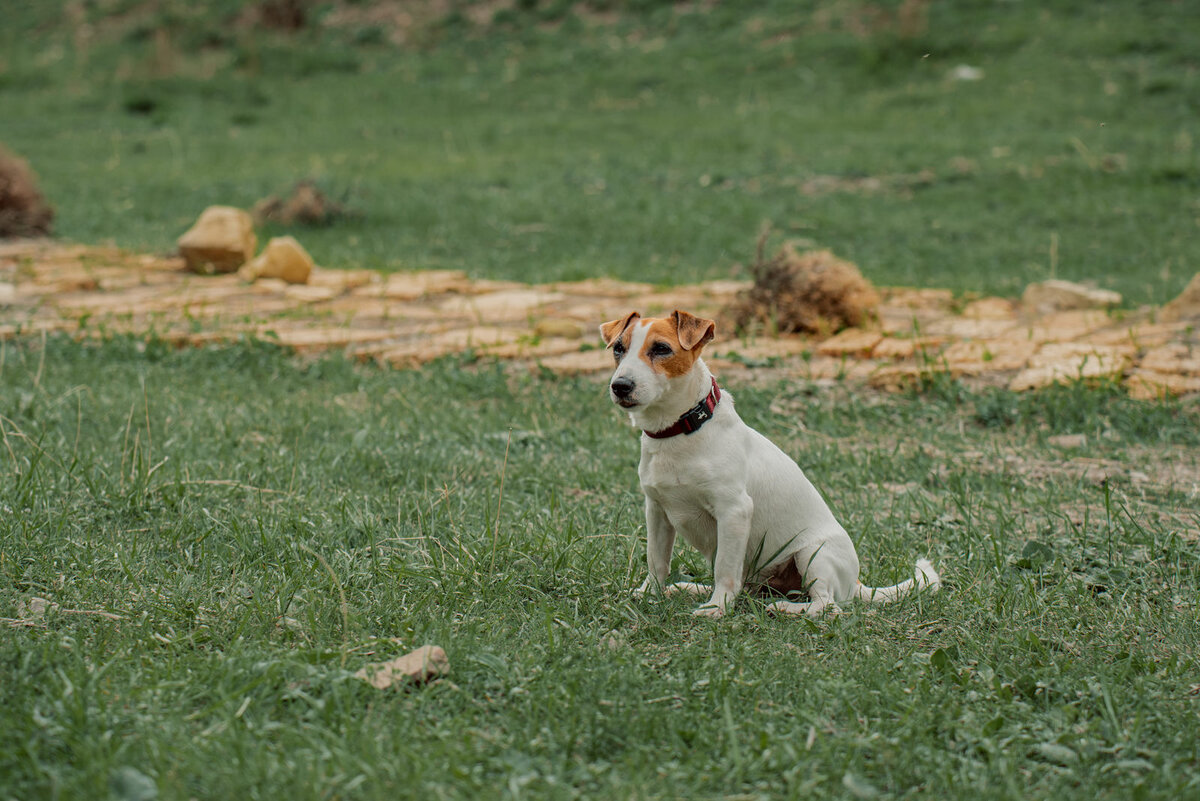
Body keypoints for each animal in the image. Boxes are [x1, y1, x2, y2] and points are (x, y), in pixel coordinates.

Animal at [600, 309, 936, 618]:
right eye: (619, 348)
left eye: (661, 349)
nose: (621, 386)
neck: (679, 432)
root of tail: (855, 584)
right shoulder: (657, 511)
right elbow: (656, 560)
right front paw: (649, 593)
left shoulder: (734, 511)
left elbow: (725, 568)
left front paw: (717, 608)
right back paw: (688, 588)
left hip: (813, 554)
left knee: (826, 605)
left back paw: (785, 608)